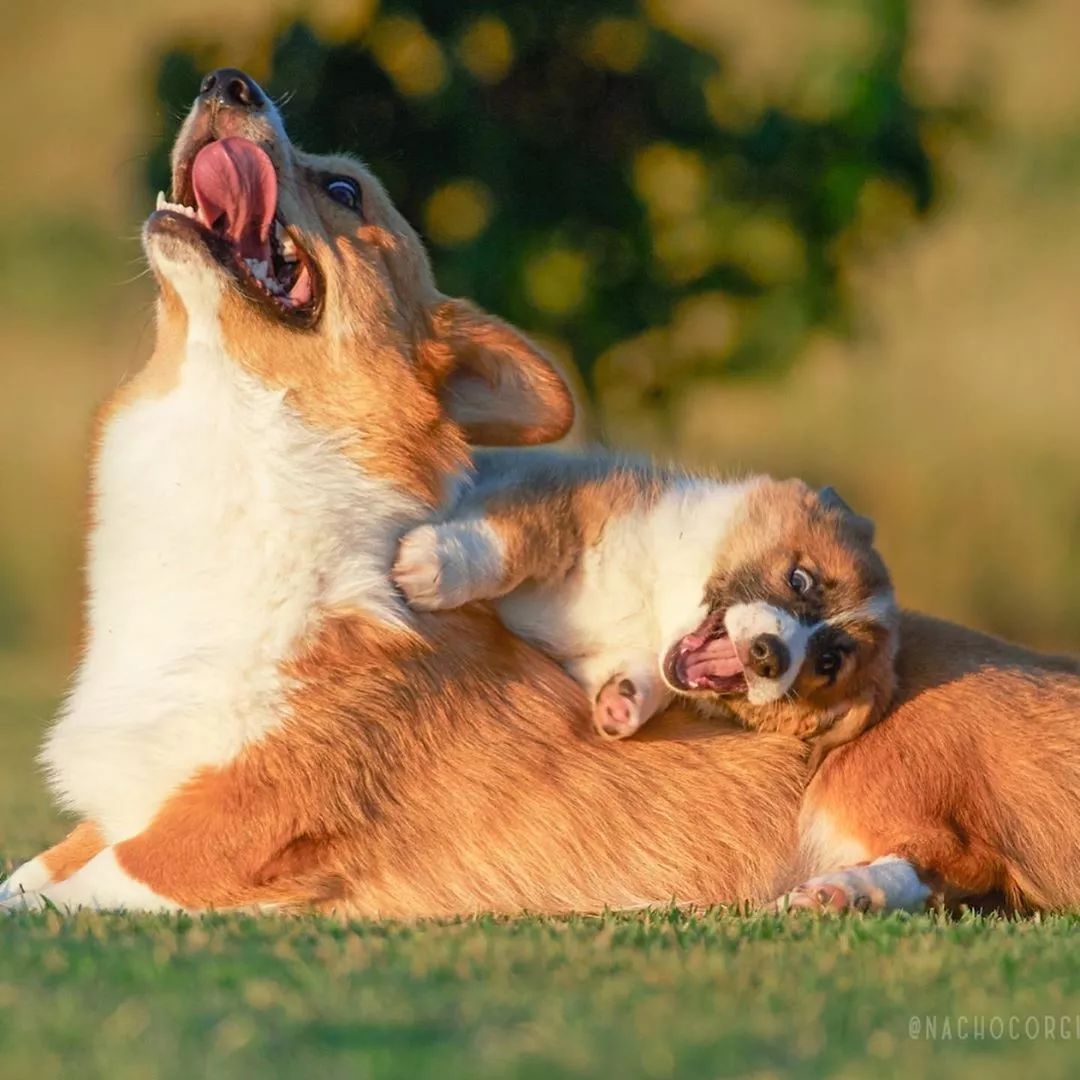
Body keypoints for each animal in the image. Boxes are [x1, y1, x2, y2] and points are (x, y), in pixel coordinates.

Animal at [393, 447, 898, 768]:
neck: (654, 607)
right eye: (800, 579)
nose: (769, 657)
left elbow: (638, 675)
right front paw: (435, 564)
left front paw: (625, 700)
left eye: (828, 663)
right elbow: (514, 538)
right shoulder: (555, 491)